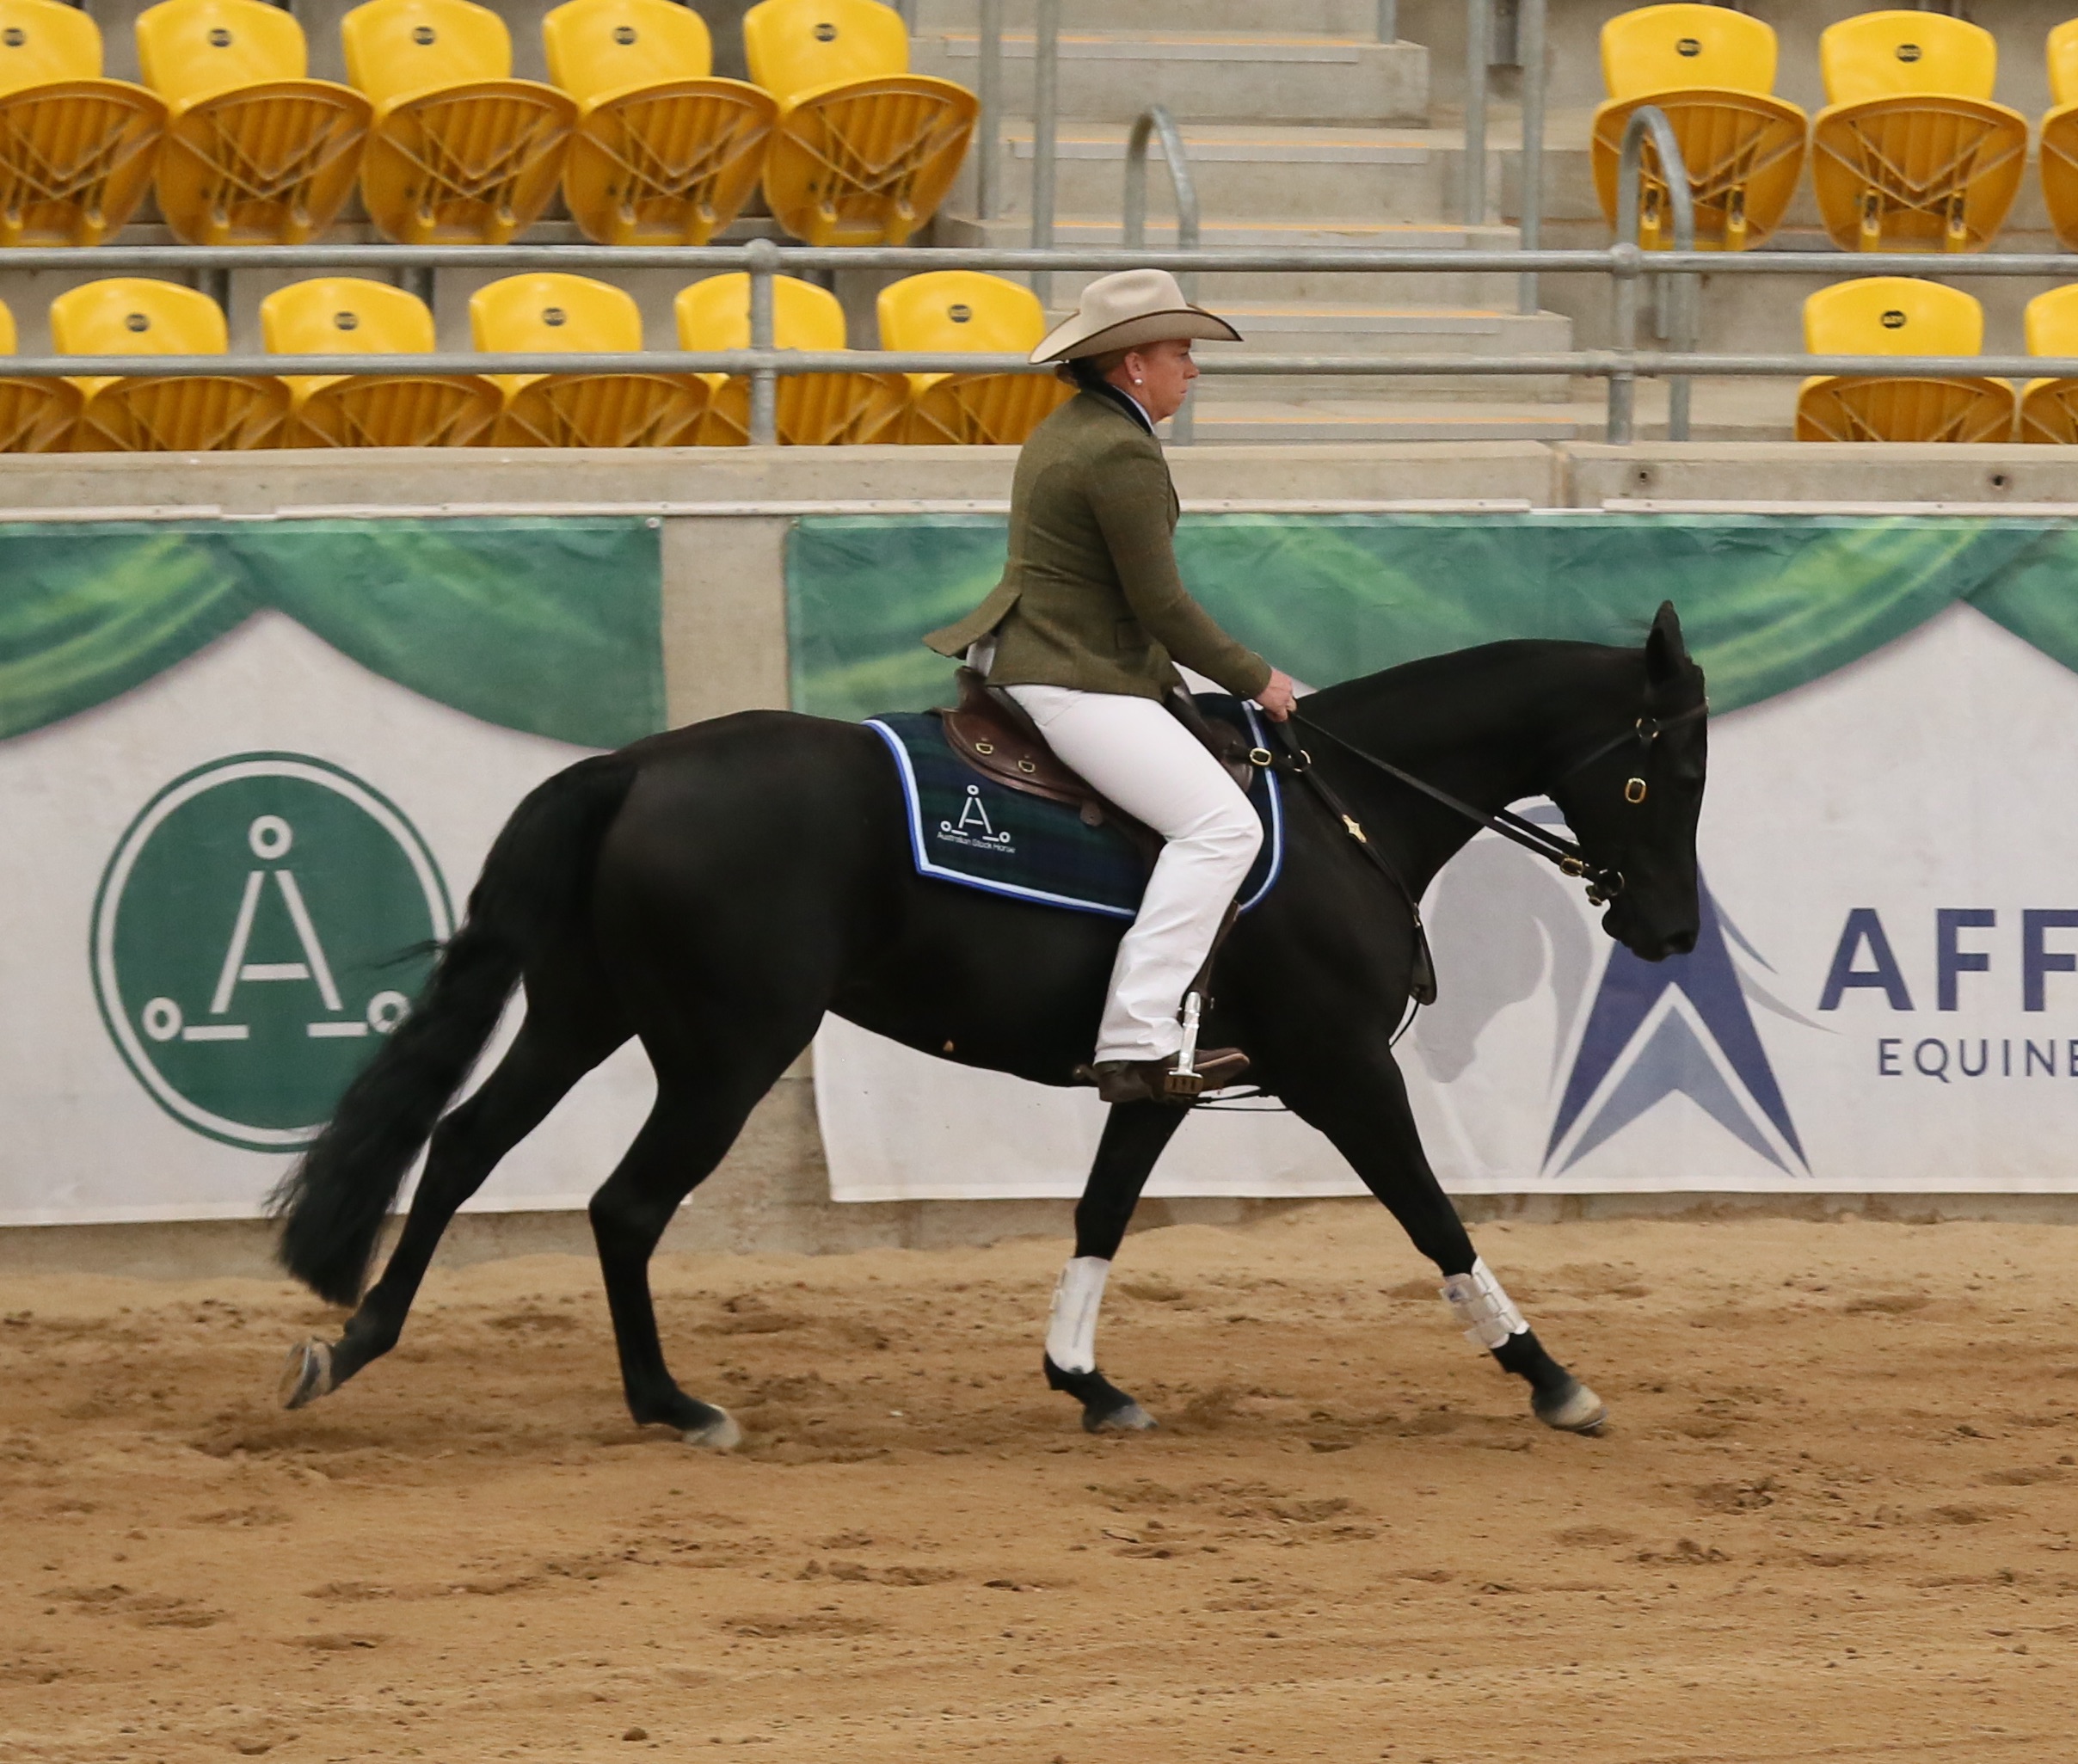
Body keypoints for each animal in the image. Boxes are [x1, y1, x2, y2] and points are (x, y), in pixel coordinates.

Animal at [271, 602, 1708, 1449]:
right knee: (621, 1204)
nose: (1675, 928)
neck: (1342, 808)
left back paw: (357, 1345)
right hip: (724, 1051)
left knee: (462, 1146)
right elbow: (1433, 1215)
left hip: (585, 1014)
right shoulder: (1339, 1064)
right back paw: (671, 1404)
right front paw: (1548, 1372)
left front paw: (1087, 1380)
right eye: (1664, 770)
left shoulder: (1162, 1076)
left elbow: (1102, 1210)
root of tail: (634, 764)